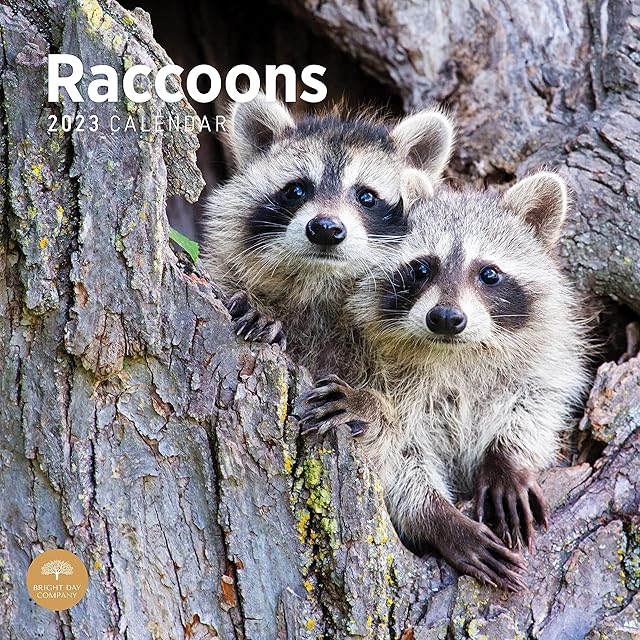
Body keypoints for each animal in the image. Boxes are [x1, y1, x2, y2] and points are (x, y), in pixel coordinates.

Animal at [301, 173, 589, 590]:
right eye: (422, 269)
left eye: (488, 273)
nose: (446, 318)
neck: (456, 352)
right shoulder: (360, 359)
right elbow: (401, 461)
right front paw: (439, 517)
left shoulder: (545, 354)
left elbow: (541, 398)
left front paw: (507, 459)